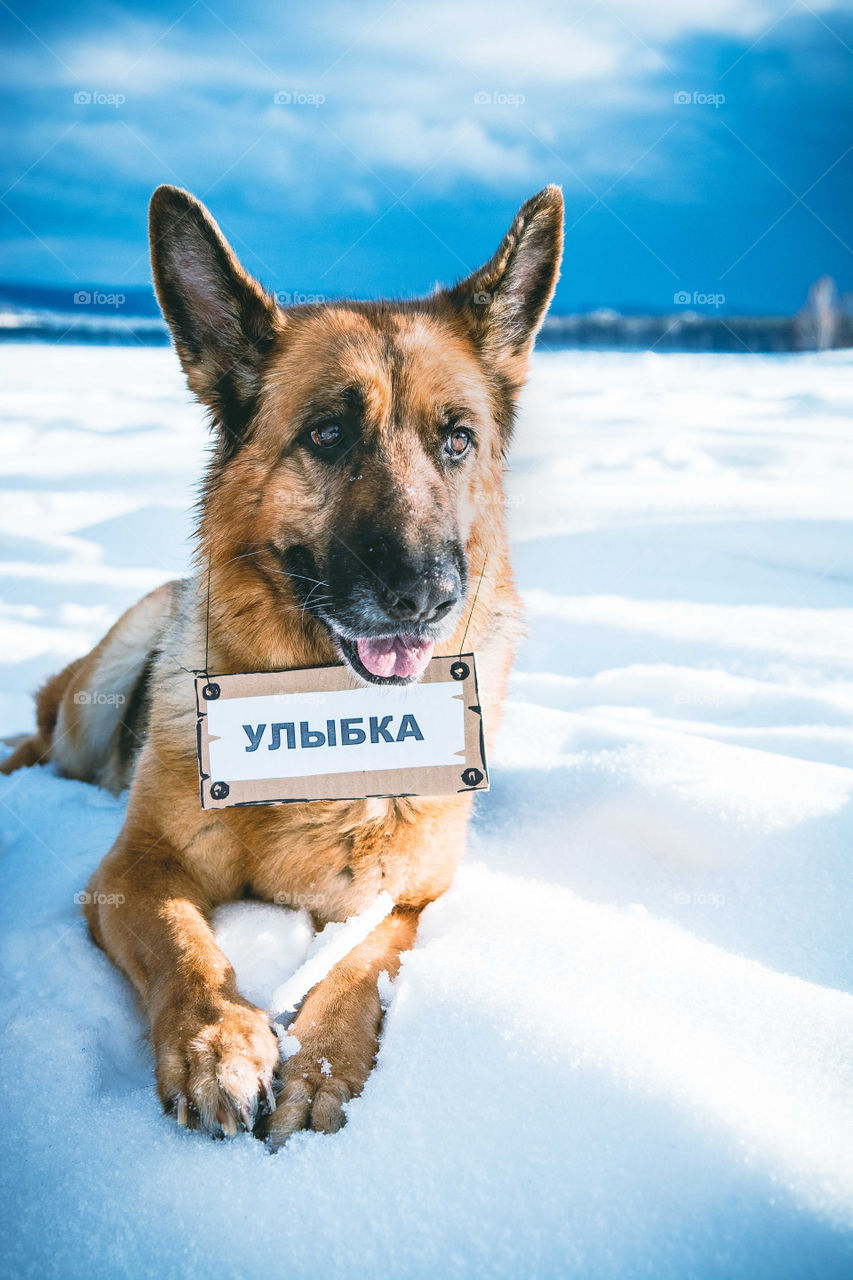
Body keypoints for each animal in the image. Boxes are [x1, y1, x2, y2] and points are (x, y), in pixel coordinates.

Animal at [1, 183, 563, 1152]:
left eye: (456, 441)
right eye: (328, 433)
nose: (425, 594)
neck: (317, 717)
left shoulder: (403, 901)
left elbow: (358, 967)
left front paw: (320, 1065)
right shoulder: (130, 873)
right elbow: (185, 944)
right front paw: (217, 1045)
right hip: (96, 694)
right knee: (38, 741)